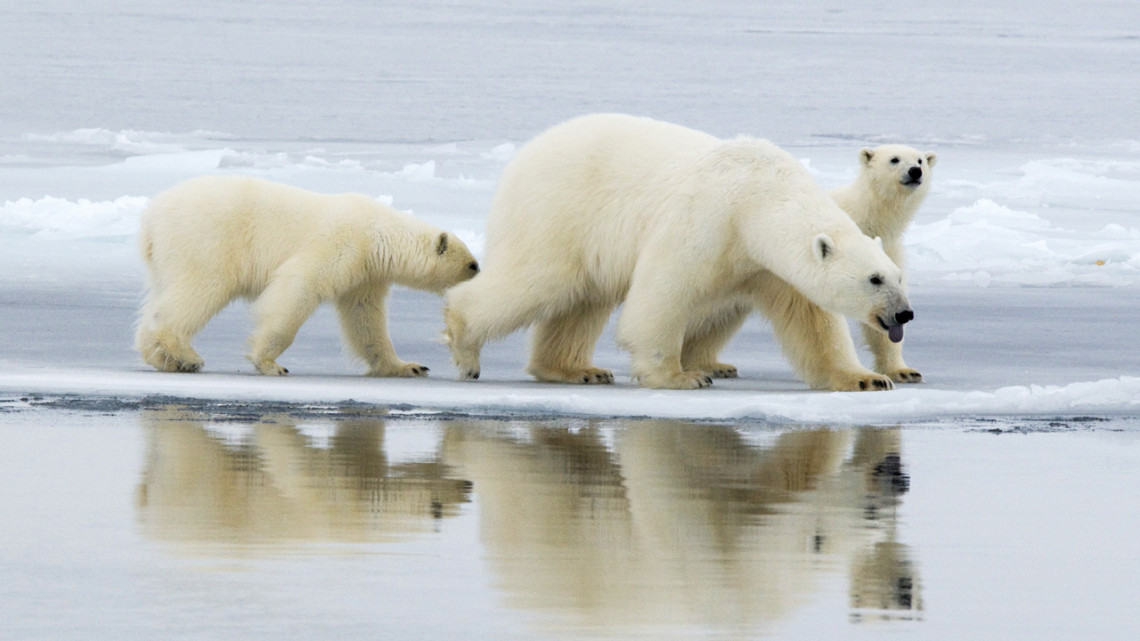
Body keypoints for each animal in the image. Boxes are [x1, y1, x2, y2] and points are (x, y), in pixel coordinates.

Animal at [135, 175, 479, 376]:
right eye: (472, 265)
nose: (480, 271)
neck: (378, 234)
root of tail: (151, 218)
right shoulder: (342, 246)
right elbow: (298, 288)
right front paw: (270, 363)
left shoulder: (365, 274)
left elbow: (365, 317)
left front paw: (408, 366)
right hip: (206, 240)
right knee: (201, 289)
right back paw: (186, 355)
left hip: (166, 257)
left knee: (159, 297)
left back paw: (162, 357)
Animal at [443, 114, 913, 391]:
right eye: (874, 279)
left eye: (897, 275)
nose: (905, 314)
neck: (758, 197)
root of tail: (523, 154)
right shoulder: (709, 220)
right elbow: (664, 291)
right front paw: (681, 376)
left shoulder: (768, 266)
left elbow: (813, 323)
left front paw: (867, 379)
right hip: (559, 213)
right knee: (539, 280)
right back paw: (465, 348)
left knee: (582, 301)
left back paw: (578, 369)